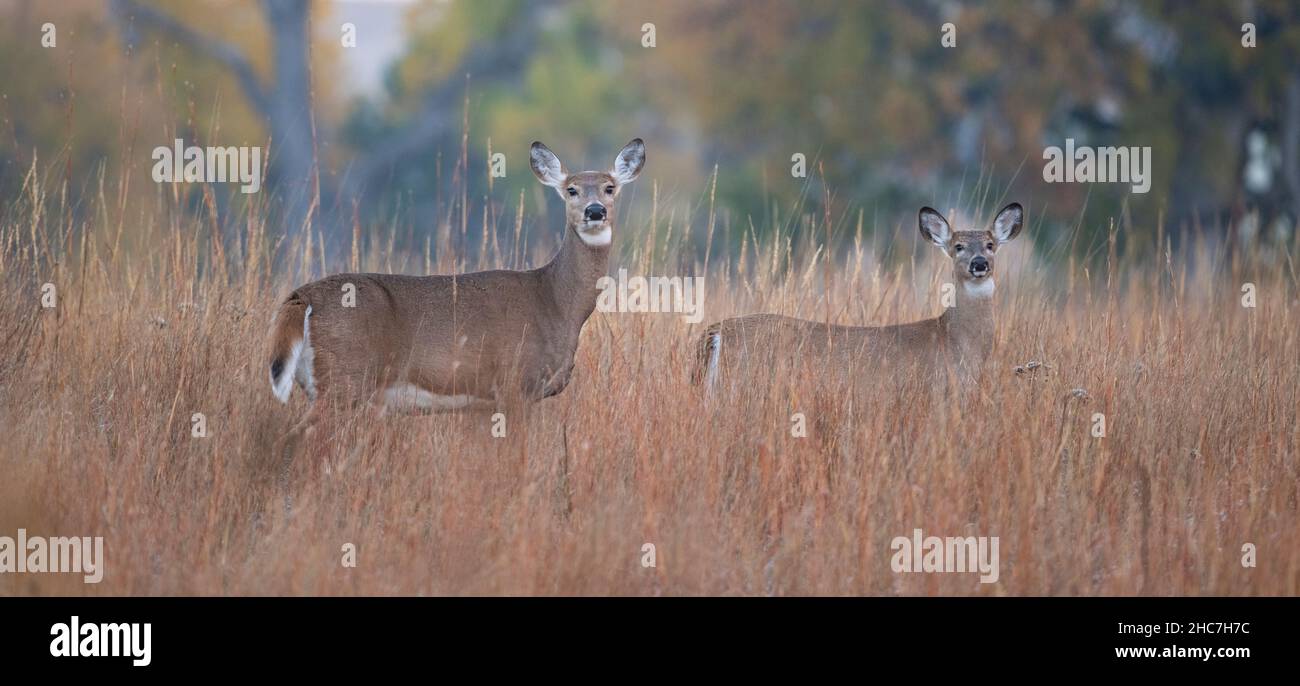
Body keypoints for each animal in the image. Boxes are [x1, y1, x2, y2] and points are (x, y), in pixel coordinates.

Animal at [267, 138, 644, 436]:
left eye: (610, 187)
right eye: (571, 190)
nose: (594, 211)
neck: (554, 302)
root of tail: (301, 298)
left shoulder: (483, 401)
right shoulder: (514, 384)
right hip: (344, 380)